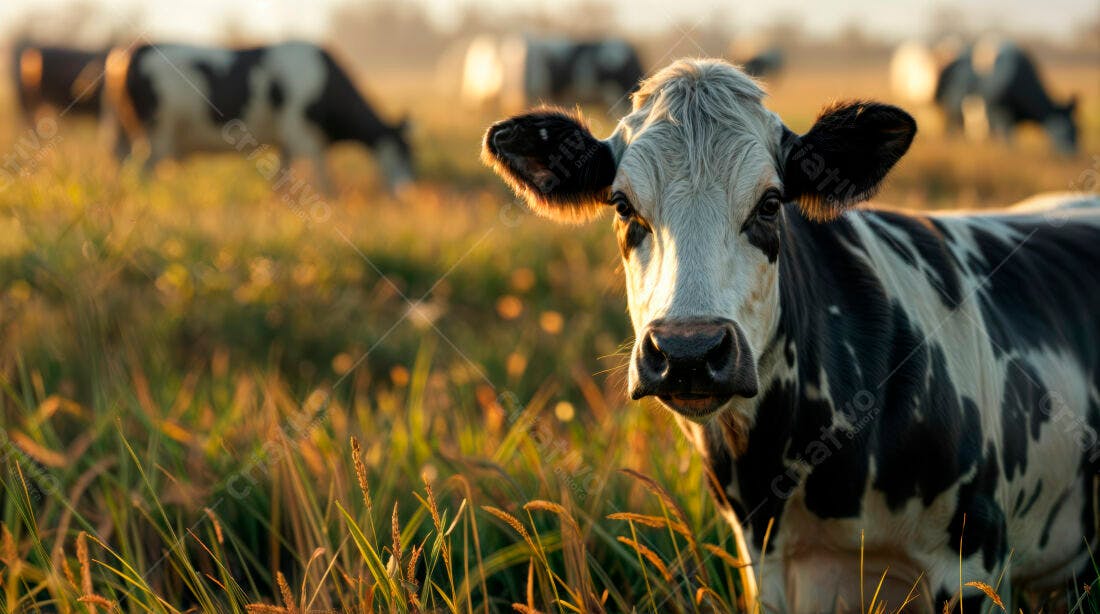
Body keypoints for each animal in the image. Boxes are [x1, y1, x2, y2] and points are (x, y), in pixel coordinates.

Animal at [103, 41, 414, 192]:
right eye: (403, 151)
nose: (407, 191)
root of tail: (131, 51)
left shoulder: (287, 142)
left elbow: (285, 178)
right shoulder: (302, 135)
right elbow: (325, 179)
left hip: (127, 133)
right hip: (154, 133)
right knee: (142, 169)